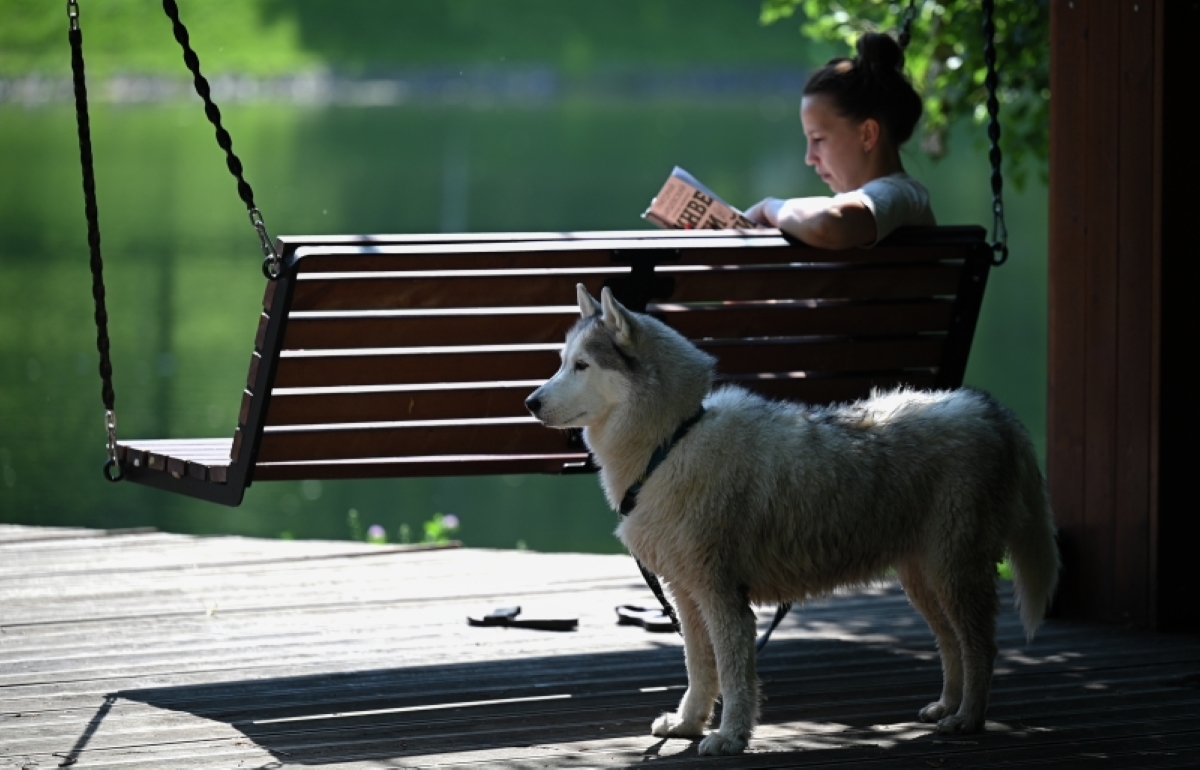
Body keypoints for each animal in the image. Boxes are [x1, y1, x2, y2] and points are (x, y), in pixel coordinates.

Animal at [525, 285, 1060, 753]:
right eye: (561, 362)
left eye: (581, 365)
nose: (529, 403)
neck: (674, 439)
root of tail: (990, 410)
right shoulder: (687, 594)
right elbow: (699, 669)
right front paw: (688, 724)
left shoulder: (723, 598)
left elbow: (734, 678)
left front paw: (729, 738)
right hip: (923, 578)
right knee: (951, 645)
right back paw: (947, 708)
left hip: (953, 572)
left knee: (981, 648)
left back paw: (968, 718)